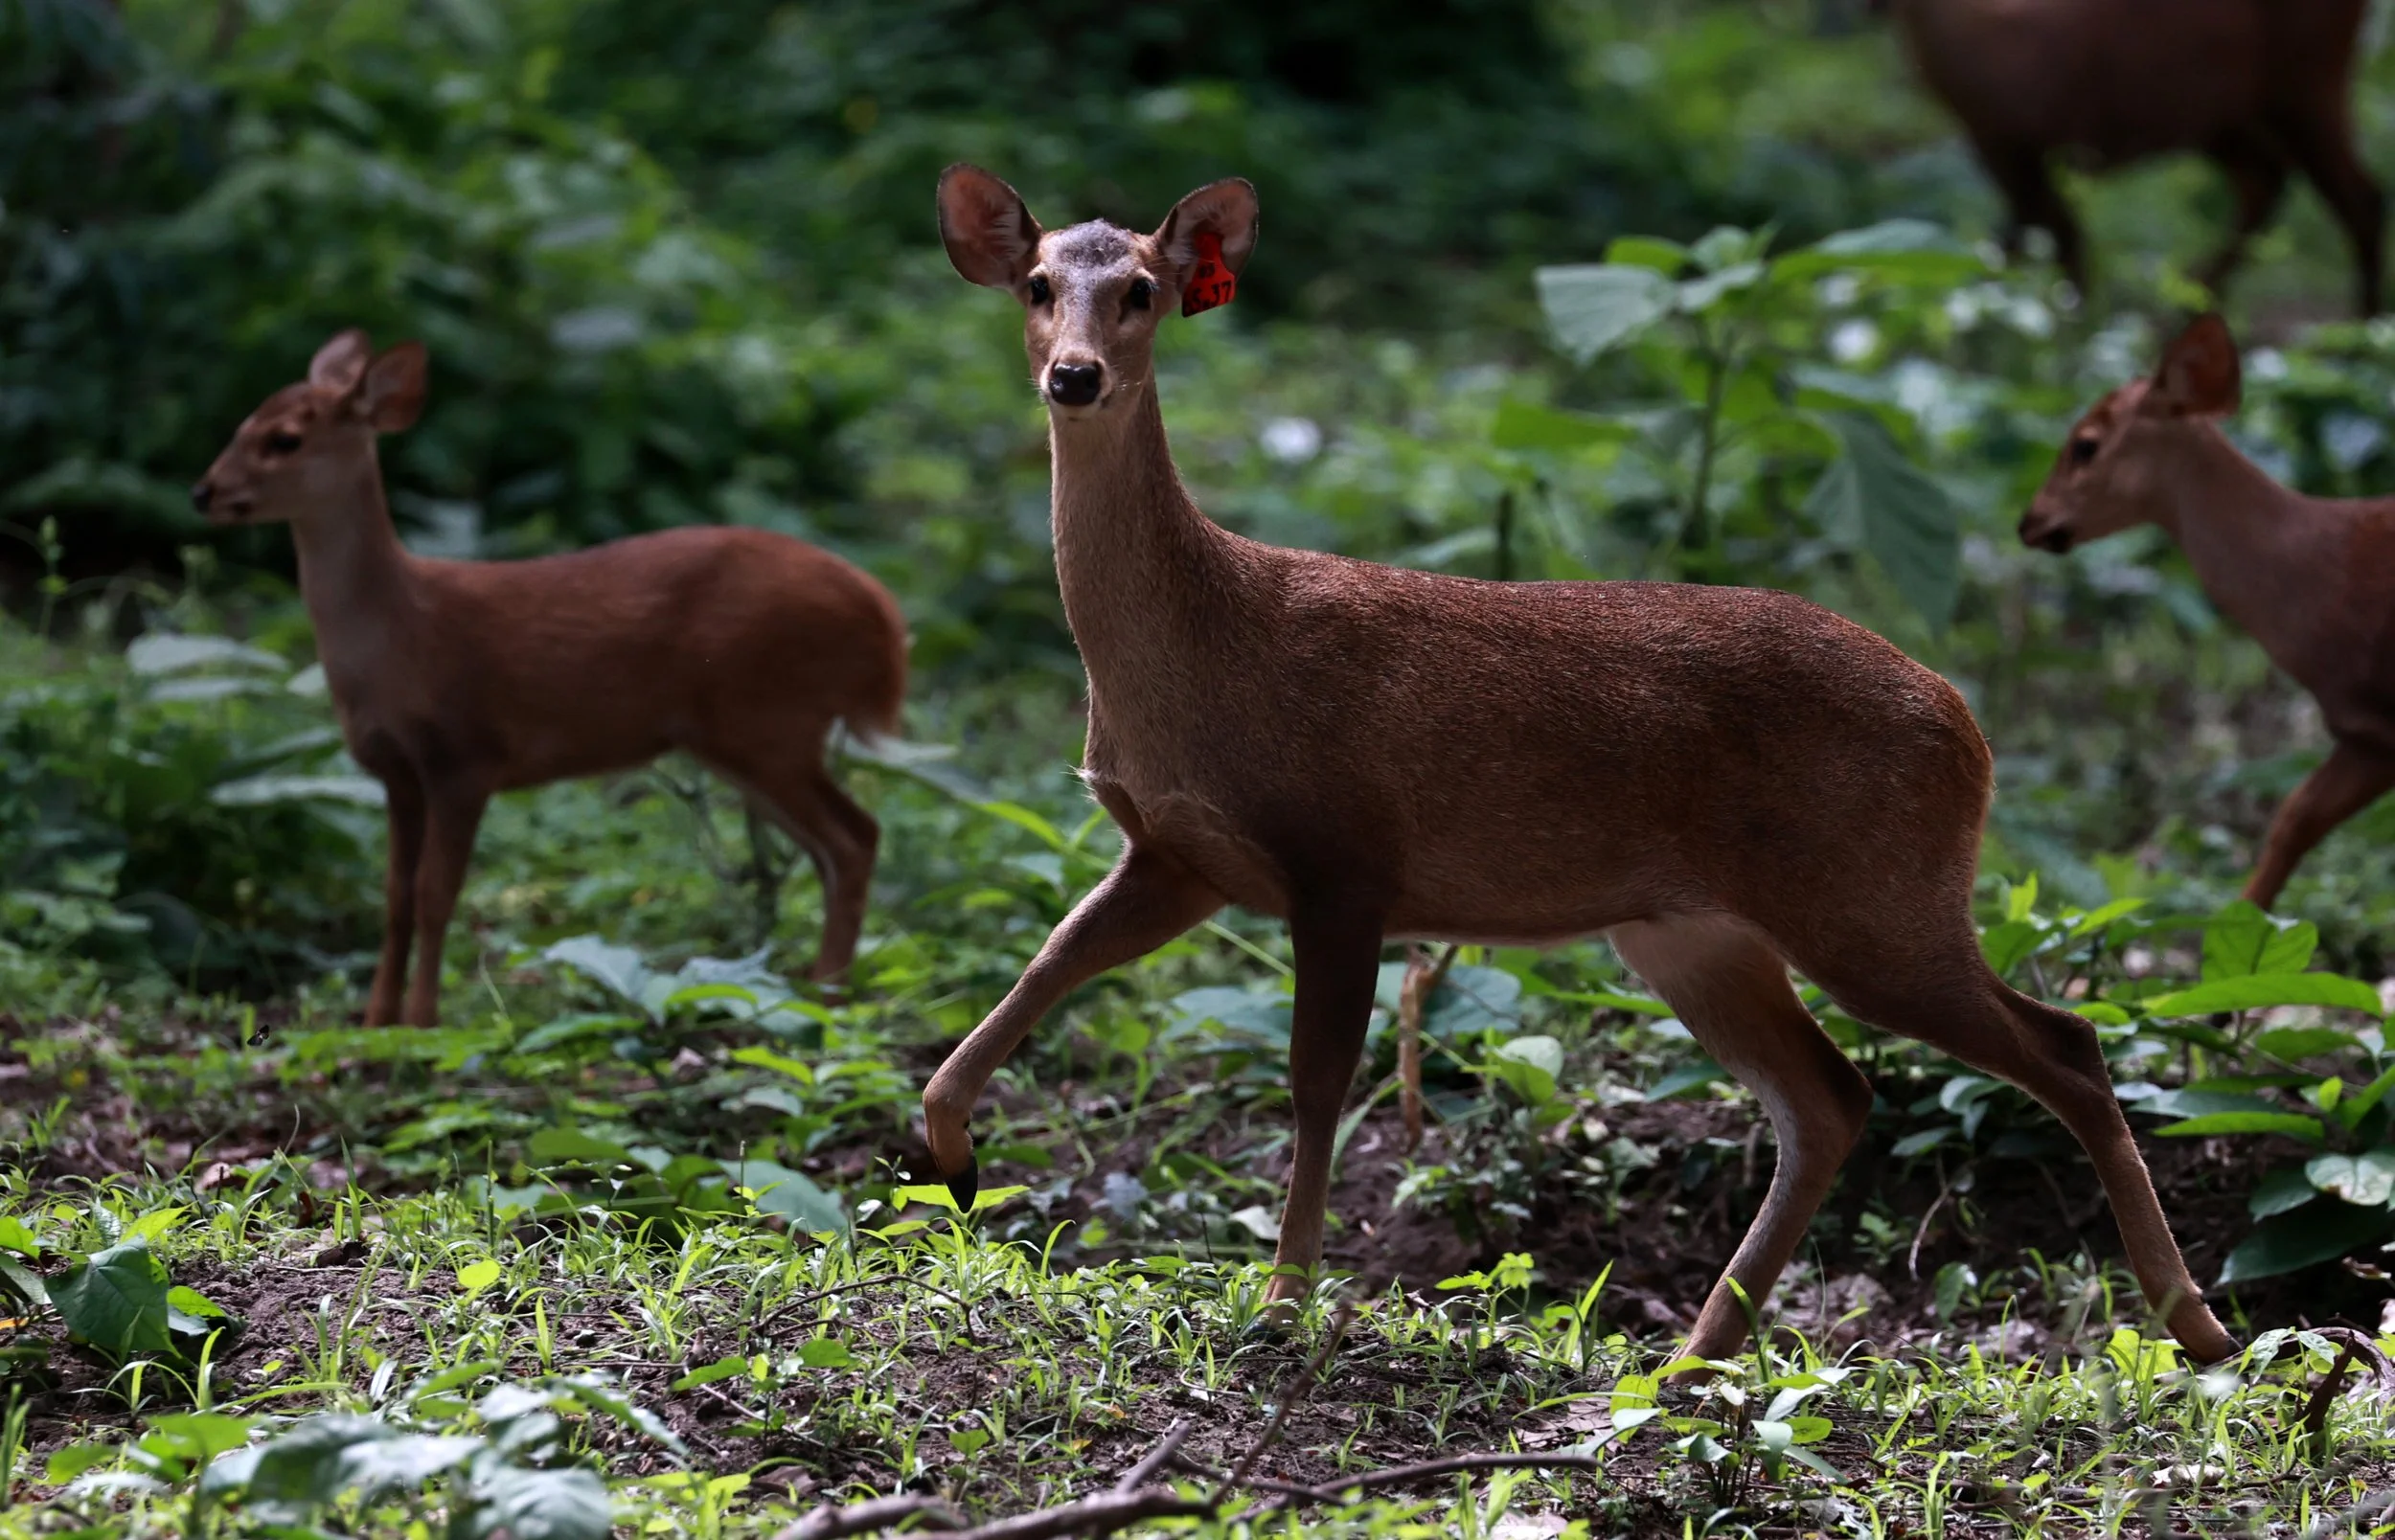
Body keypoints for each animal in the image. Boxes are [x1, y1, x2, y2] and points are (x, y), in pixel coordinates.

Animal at [191, 330, 907, 1027]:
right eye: (243, 420)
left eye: (284, 438)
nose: (204, 492)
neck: (400, 638)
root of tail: (880, 614)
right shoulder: (396, 770)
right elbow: (393, 897)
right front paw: (375, 1022)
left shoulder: (467, 754)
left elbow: (435, 894)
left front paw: (422, 1022)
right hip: (746, 737)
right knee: (832, 846)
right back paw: (813, 988)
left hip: (768, 719)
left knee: (856, 838)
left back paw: (827, 994)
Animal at [922, 164, 2239, 1364]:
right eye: (1038, 285)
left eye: (1141, 290)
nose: (1073, 374)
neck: (1198, 651)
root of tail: (1967, 725)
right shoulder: (1179, 855)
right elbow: (1046, 964)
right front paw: (952, 1153)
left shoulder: (1342, 856)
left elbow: (1315, 1083)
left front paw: (1286, 1305)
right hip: (1693, 930)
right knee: (1833, 1096)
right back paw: (1693, 1352)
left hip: (1873, 893)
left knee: (2062, 1046)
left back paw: (2198, 1324)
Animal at [1871, 0, 2384, 315]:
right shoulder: (2019, 150)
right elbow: (2046, 246)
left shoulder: (2023, 145)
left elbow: (2039, 250)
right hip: (2220, 115)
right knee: (2267, 179)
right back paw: (2188, 310)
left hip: (2305, 83)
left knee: (2361, 198)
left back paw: (2361, 337)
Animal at [2020, 312, 2395, 909]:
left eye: (2085, 445)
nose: (2029, 522)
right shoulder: (2366, 733)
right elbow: (2295, 817)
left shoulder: (2376, 727)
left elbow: (2296, 818)